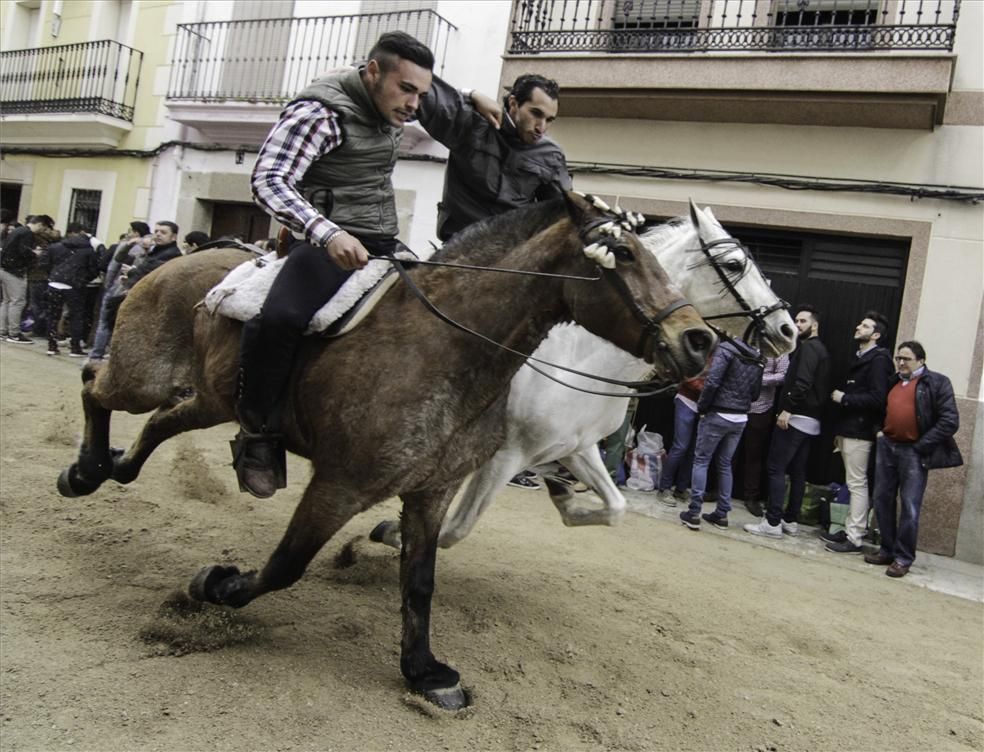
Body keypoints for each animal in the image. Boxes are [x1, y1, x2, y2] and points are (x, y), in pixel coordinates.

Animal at [55, 194, 716, 712]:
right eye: (623, 256)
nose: (699, 340)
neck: (444, 346)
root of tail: (180, 258)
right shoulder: (342, 484)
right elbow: (285, 565)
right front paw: (215, 585)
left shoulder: (433, 488)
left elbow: (420, 581)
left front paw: (424, 672)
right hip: (144, 375)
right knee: (92, 382)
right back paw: (85, 470)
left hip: (209, 399)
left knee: (158, 422)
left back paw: (111, 467)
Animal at [372, 203, 796, 548]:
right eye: (734, 265)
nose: (788, 330)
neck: (581, 358)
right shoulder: (504, 456)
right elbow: (455, 528)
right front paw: (393, 532)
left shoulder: (577, 447)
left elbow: (616, 507)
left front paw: (565, 498)